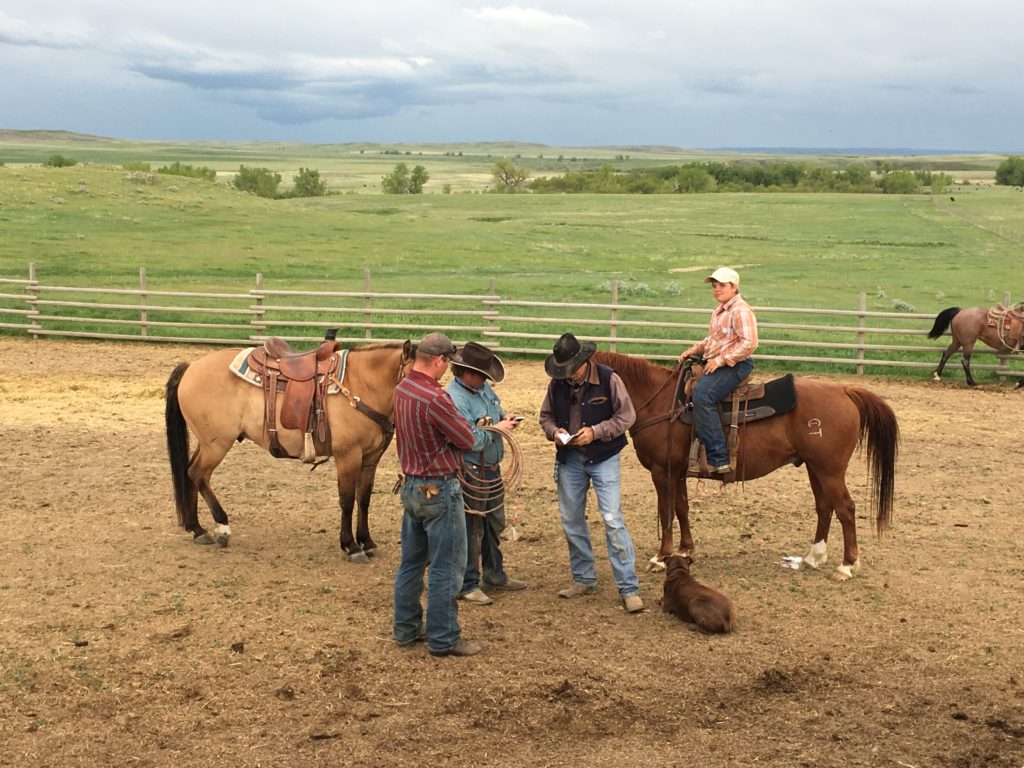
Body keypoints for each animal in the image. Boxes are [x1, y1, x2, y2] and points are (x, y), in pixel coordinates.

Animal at [163, 339, 411, 561]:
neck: (360, 384)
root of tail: (191, 366)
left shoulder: (370, 458)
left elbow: (364, 498)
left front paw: (367, 542)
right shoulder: (348, 456)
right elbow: (347, 500)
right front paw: (351, 546)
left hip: (206, 443)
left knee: (189, 472)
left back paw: (197, 529)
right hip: (216, 444)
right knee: (198, 473)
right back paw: (221, 527)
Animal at [593, 352, 897, 581]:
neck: (659, 402)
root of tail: (845, 390)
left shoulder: (662, 471)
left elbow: (666, 512)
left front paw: (661, 557)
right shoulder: (677, 472)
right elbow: (682, 508)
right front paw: (686, 550)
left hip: (830, 470)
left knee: (845, 508)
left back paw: (847, 565)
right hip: (815, 468)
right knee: (825, 507)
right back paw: (813, 557)